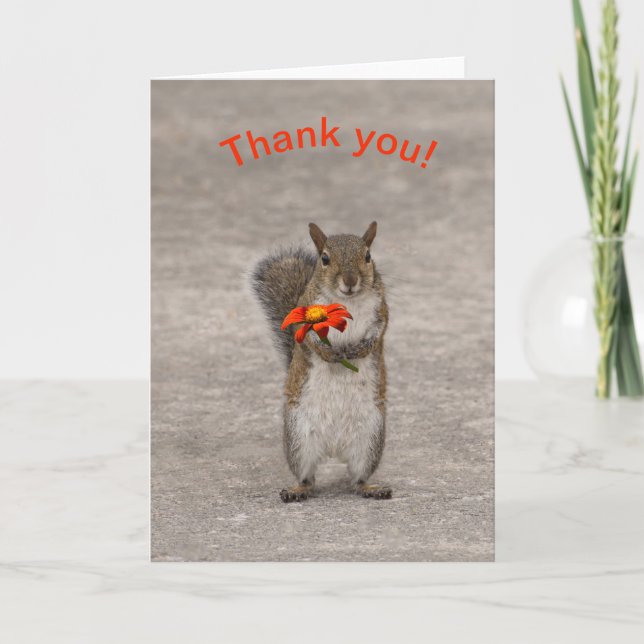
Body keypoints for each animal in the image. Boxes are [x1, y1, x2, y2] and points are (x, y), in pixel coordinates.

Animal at [252, 221, 392, 503]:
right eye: (325, 259)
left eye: (368, 256)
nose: (350, 281)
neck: (348, 301)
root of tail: (334, 448)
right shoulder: (304, 309)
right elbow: (309, 338)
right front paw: (330, 354)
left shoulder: (381, 309)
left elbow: (379, 329)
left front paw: (362, 348)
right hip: (299, 438)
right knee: (308, 477)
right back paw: (297, 491)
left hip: (370, 439)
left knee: (358, 478)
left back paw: (371, 488)